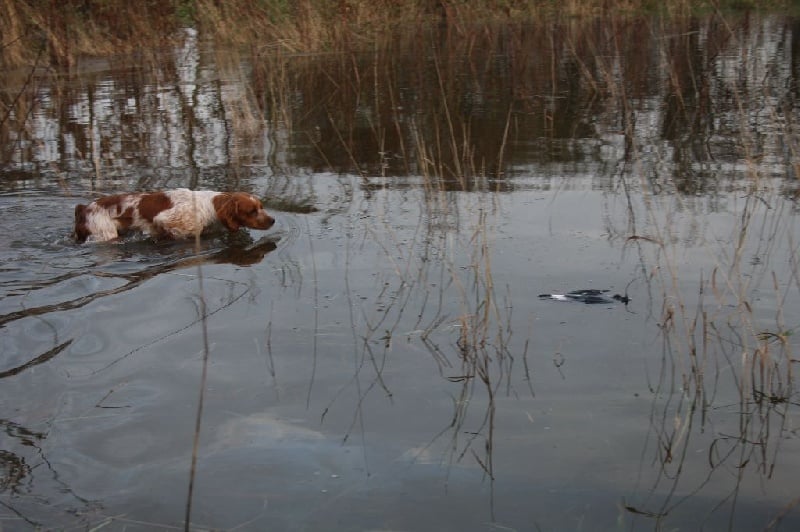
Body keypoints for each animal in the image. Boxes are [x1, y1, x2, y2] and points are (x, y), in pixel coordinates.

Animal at [75, 189, 276, 243]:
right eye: (252, 211)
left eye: (261, 207)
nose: (273, 220)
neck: (210, 207)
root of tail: (84, 208)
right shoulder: (165, 220)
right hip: (105, 234)